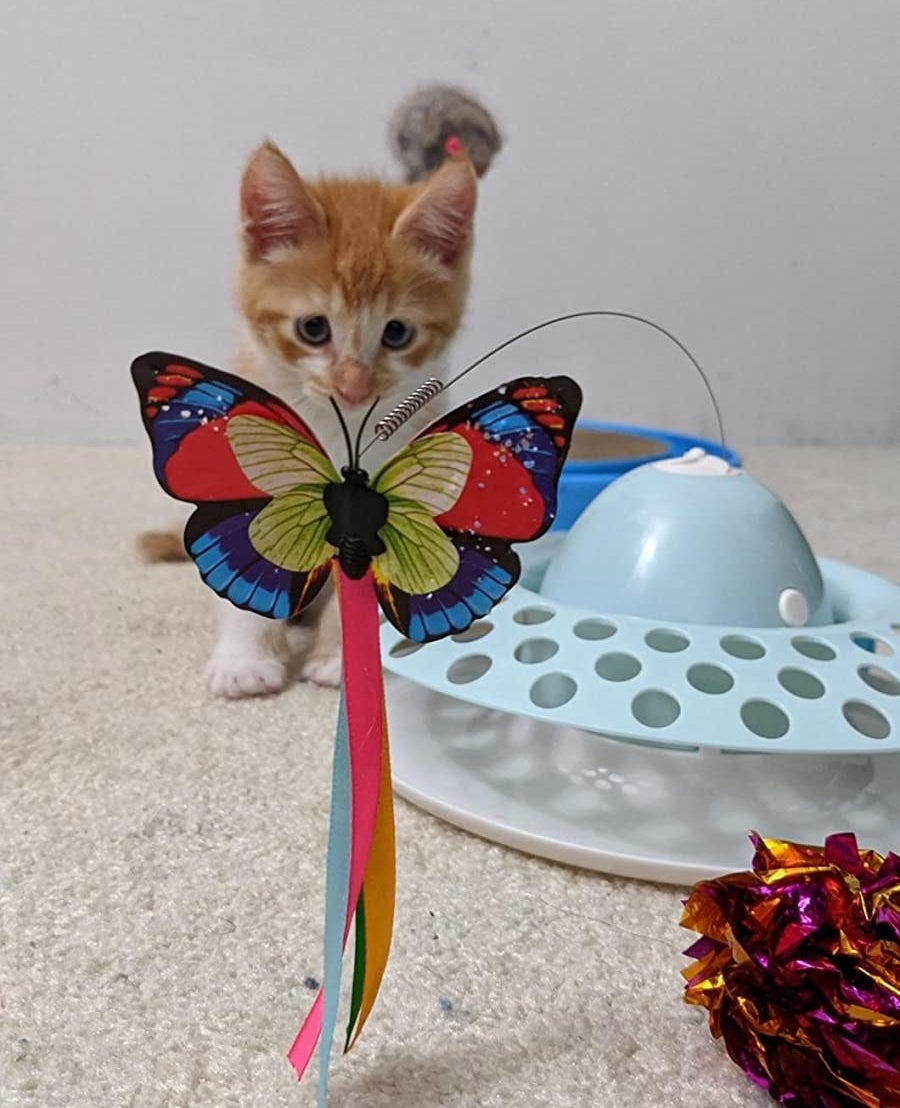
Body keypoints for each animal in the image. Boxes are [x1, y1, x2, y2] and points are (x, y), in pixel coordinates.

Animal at [206, 138, 478, 691]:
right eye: (313, 328)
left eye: (397, 333)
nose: (353, 388)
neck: (340, 428)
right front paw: (244, 660)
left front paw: (340, 661)